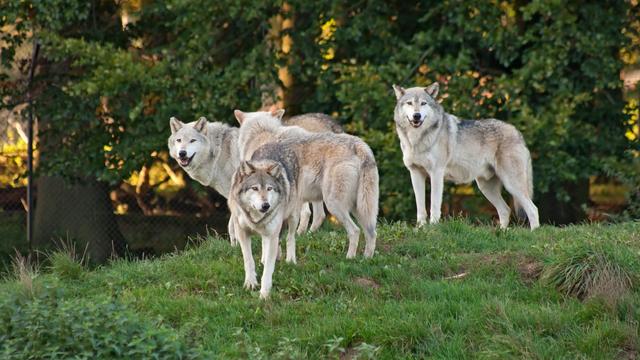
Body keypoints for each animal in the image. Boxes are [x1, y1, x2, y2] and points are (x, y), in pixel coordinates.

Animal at [168, 112, 342, 245]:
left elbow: (232, 225)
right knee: (319, 215)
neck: (219, 150)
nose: (182, 153)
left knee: (307, 213)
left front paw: (235, 245)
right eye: (179, 140)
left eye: (192, 140)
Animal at [234, 108, 378, 260]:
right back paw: (366, 259)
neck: (261, 134)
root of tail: (359, 145)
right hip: (359, 208)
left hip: (334, 204)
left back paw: (349, 258)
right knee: (370, 232)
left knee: (354, 230)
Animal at [392, 82, 536, 229]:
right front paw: (420, 228)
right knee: (505, 210)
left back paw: (534, 231)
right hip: (486, 187)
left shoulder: (436, 173)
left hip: (511, 184)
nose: (417, 115)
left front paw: (433, 227)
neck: (417, 140)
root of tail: (517, 132)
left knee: (533, 209)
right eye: (409, 103)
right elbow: (420, 208)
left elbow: (434, 205)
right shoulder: (415, 173)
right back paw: (502, 231)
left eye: (423, 103)